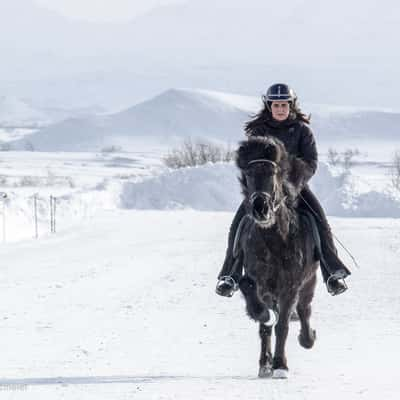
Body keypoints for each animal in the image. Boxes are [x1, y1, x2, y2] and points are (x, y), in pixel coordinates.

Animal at [234, 137, 318, 378]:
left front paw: (281, 365)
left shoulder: (290, 286)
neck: (274, 240)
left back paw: (308, 338)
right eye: (248, 173)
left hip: (310, 282)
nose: (260, 208)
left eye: (273, 173)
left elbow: (283, 325)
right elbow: (261, 315)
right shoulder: (258, 280)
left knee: (304, 309)